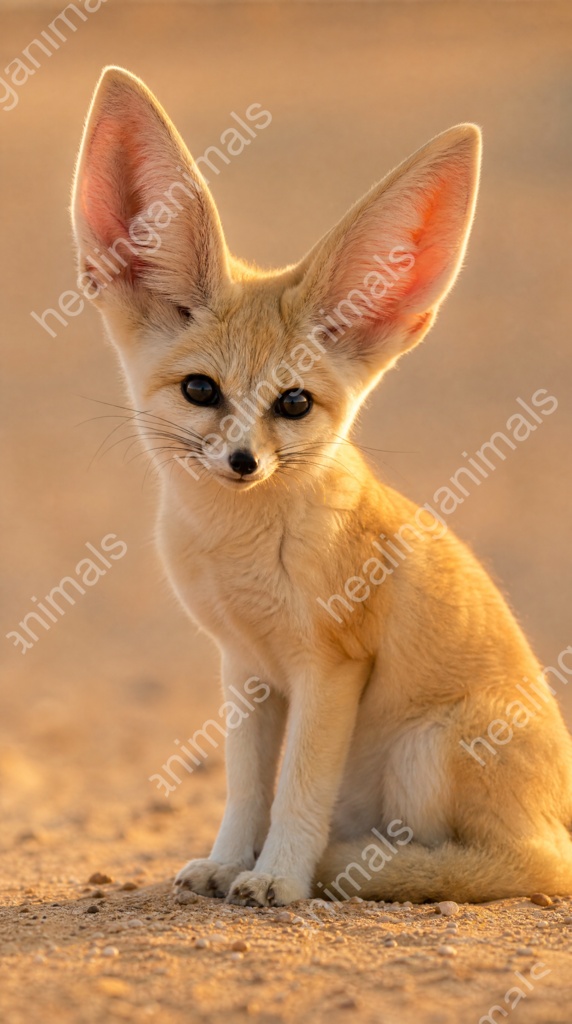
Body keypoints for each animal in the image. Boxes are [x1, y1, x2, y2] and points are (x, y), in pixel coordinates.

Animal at [72, 66, 572, 906]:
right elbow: (246, 788)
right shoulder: (244, 668)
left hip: (427, 749)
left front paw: (278, 876)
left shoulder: (330, 666)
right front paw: (228, 862)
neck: (237, 549)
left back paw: (363, 866)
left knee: (528, 863)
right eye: (201, 391)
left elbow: (298, 787)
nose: (243, 462)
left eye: (295, 404)